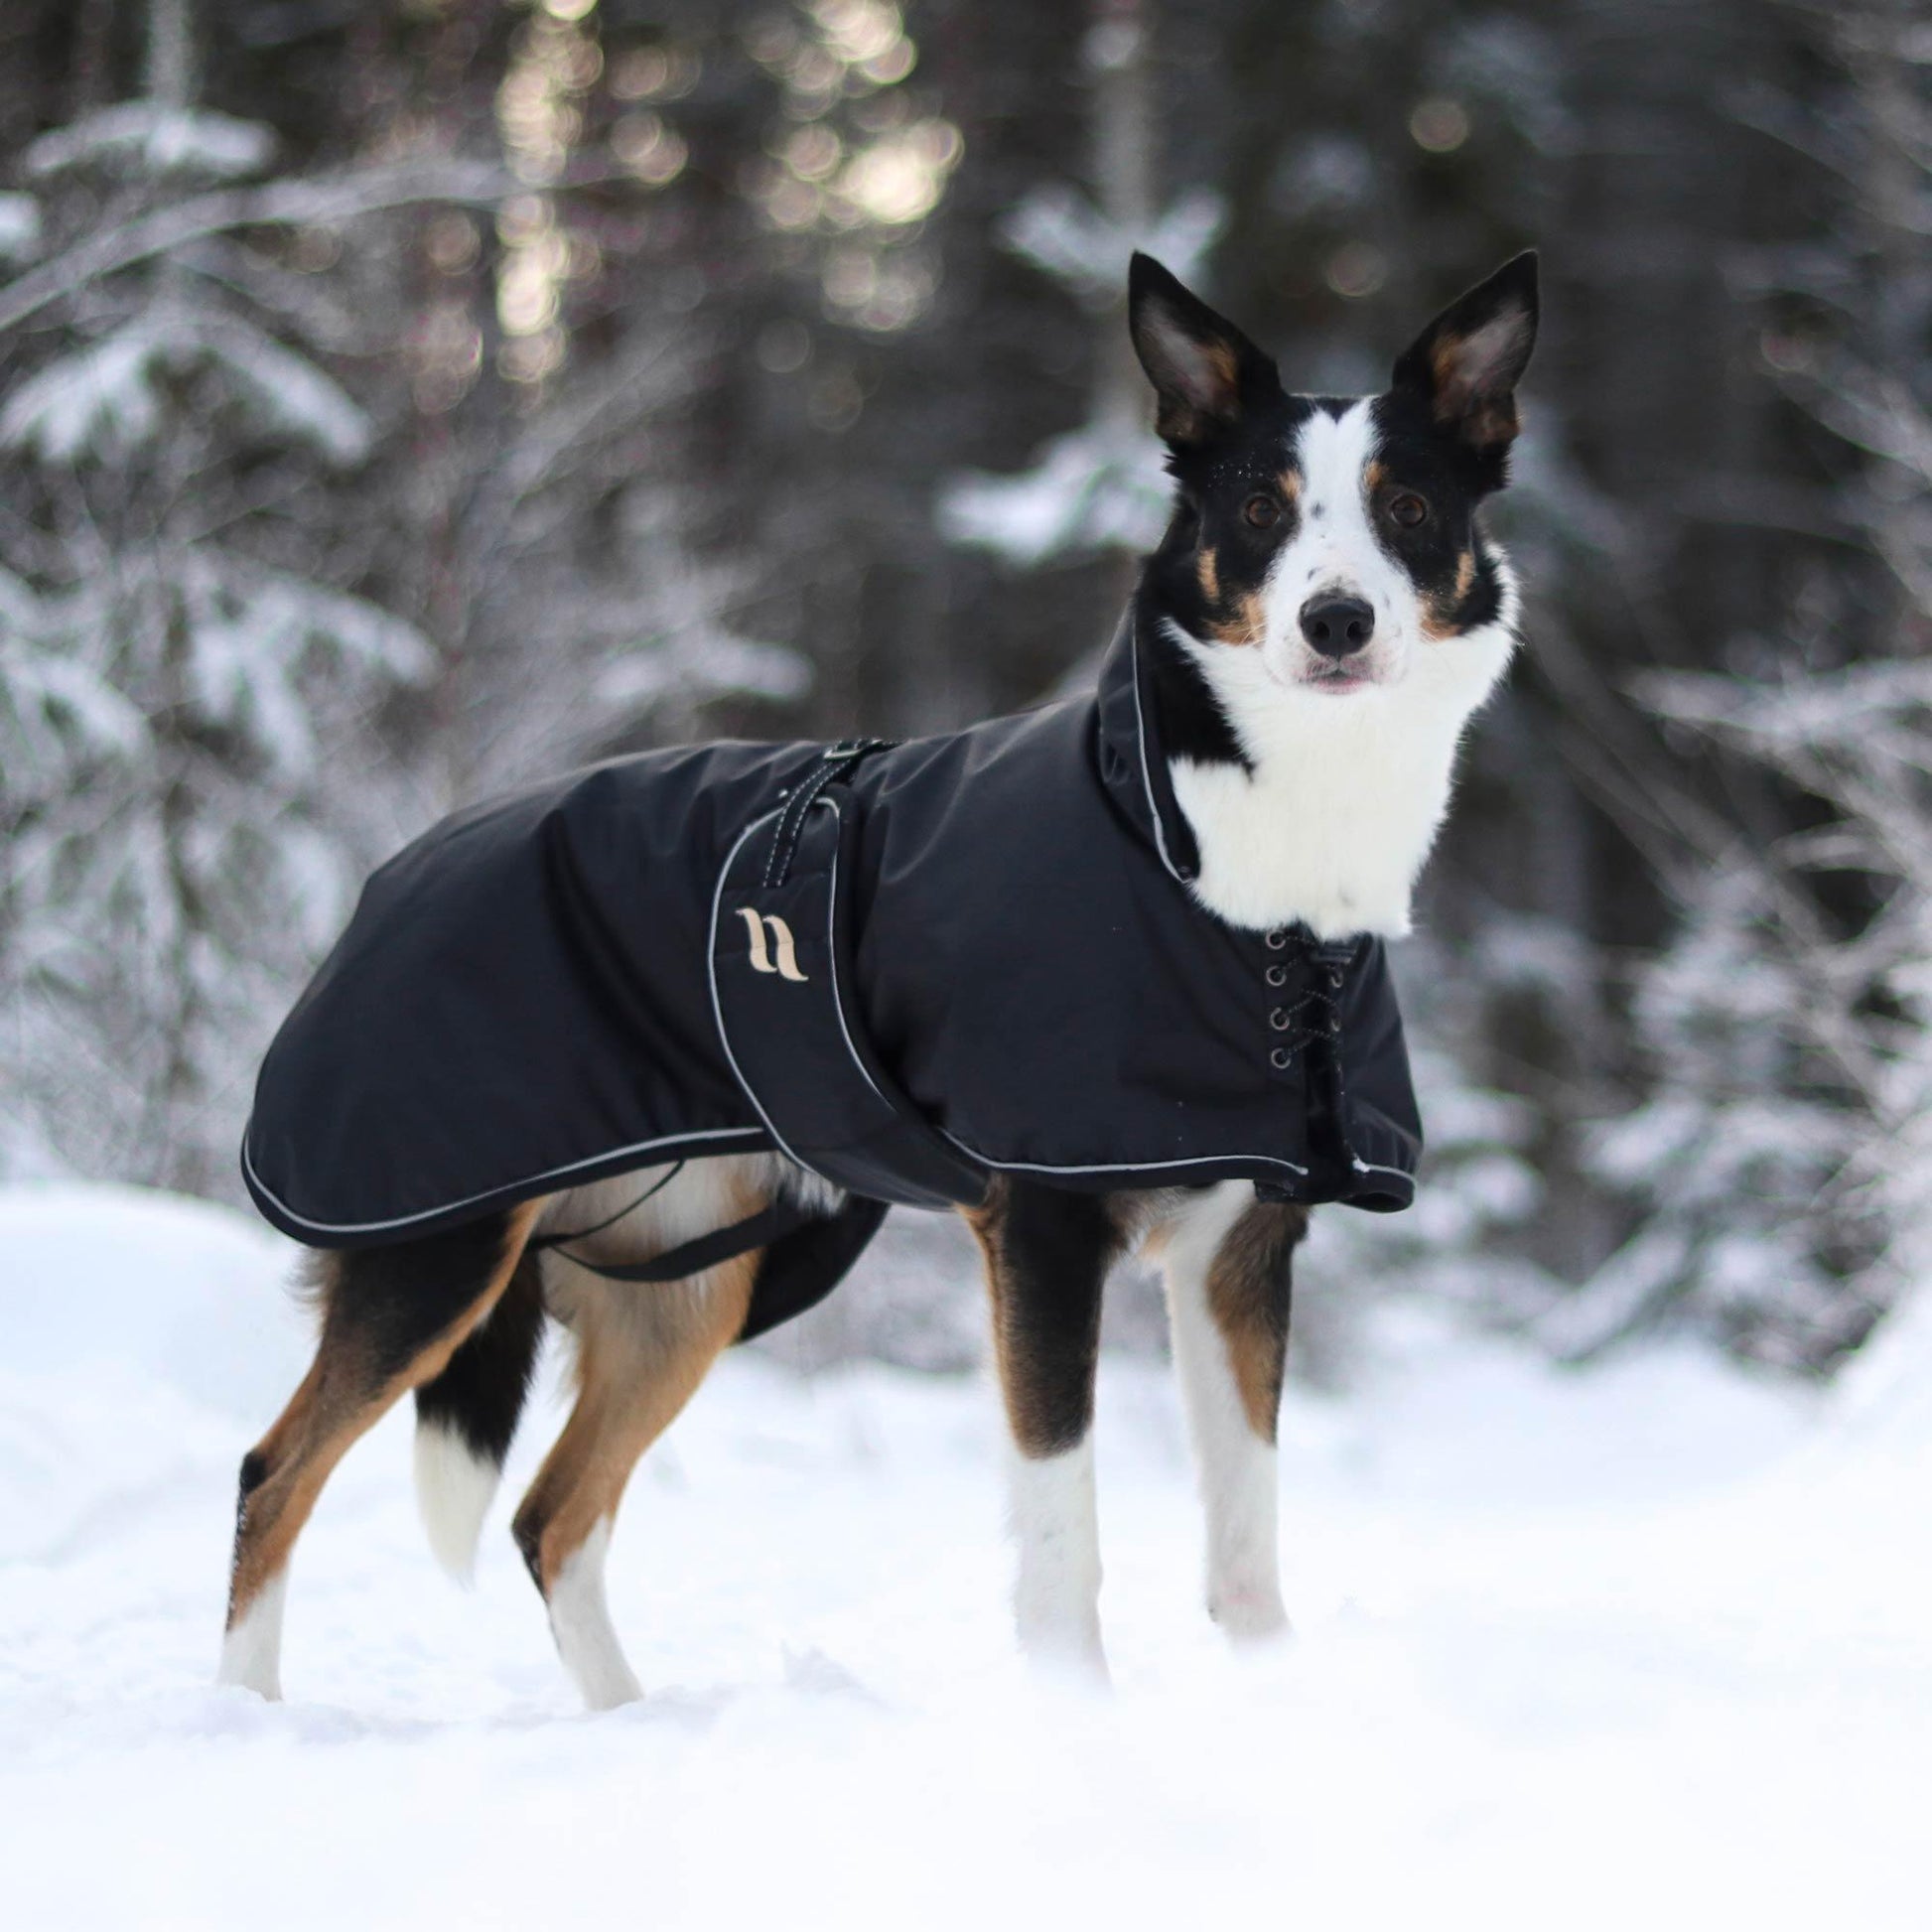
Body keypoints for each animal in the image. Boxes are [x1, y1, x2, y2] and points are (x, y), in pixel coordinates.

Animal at [214, 252, 1538, 1708]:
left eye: (1404, 504)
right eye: (1259, 507)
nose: (1334, 619)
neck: (1224, 863)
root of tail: (394, 871)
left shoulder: (1242, 1242)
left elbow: (1245, 1527)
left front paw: (1266, 1692)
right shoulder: (1041, 1227)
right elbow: (1061, 1530)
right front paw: (1071, 1710)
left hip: (687, 1284)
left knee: (549, 1515)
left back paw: (623, 1722)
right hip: (435, 1246)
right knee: (274, 1473)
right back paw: (245, 1717)